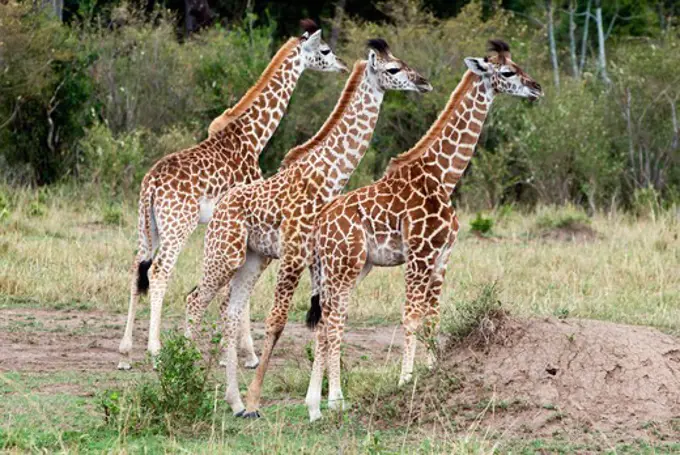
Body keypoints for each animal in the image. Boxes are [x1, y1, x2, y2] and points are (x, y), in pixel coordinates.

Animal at [116, 19, 348, 372]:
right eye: (325, 50)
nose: (343, 65)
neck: (253, 137)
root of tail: (151, 185)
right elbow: (240, 293)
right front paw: (247, 355)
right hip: (178, 225)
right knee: (158, 272)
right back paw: (155, 352)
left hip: (147, 225)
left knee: (135, 269)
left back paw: (126, 354)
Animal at [183, 41, 432, 418]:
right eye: (393, 70)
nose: (423, 82)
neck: (328, 174)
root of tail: (221, 207)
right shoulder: (294, 253)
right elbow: (279, 321)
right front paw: (259, 401)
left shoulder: (318, 260)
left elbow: (323, 321)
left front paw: (322, 401)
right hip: (224, 254)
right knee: (195, 300)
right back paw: (180, 375)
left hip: (252, 259)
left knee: (229, 311)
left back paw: (234, 402)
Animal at [304, 39, 540, 420]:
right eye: (507, 72)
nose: (536, 88)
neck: (444, 175)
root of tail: (319, 226)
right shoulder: (420, 254)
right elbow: (411, 318)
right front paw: (405, 381)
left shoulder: (442, 257)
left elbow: (433, 317)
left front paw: (431, 371)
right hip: (344, 265)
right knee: (333, 321)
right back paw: (333, 400)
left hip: (348, 267)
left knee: (326, 320)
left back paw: (316, 404)